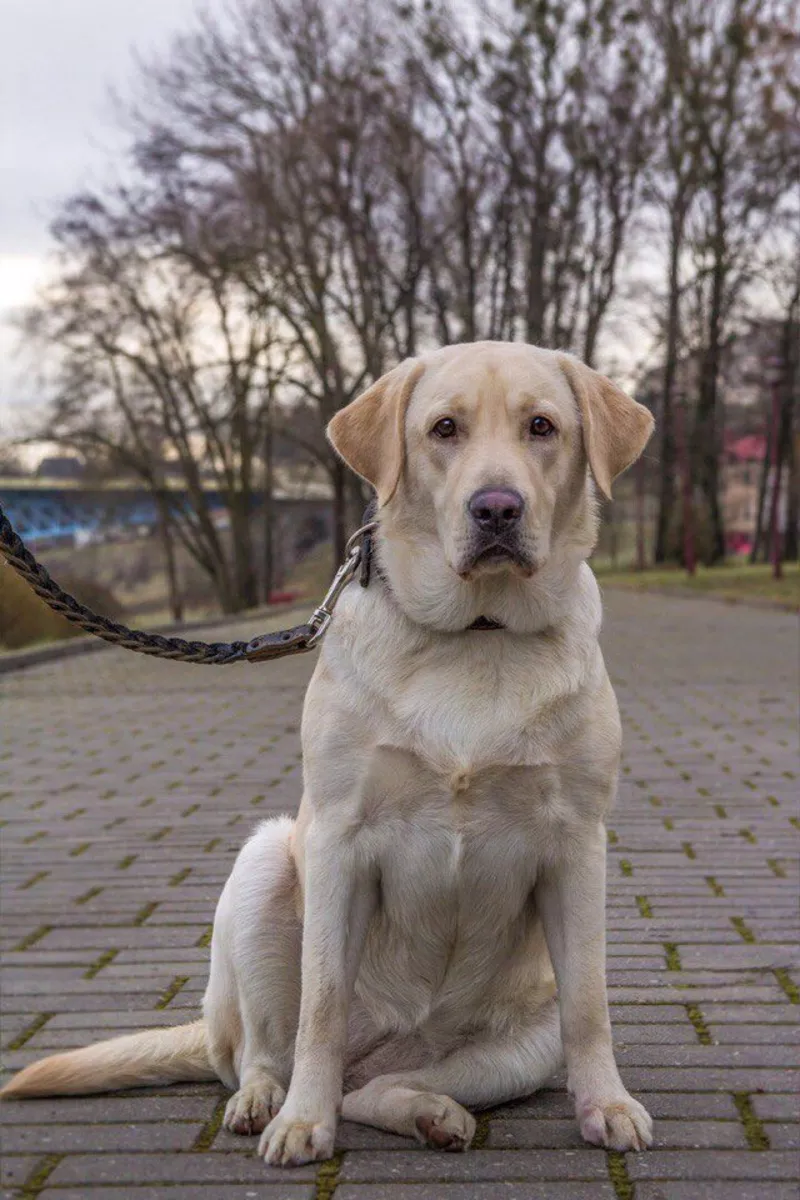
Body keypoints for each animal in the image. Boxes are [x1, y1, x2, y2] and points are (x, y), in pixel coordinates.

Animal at [3, 343, 657, 1166]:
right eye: (444, 429)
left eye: (542, 426)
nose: (497, 508)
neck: (477, 634)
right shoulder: (341, 838)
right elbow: (321, 1005)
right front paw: (301, 1125)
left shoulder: (578, 843)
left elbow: (592, 1004)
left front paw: (608, 1105)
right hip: (262, 865)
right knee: (260, 1051)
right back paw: (267, 1102)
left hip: (521, 1045)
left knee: (377, 1091)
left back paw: (432, 1113)